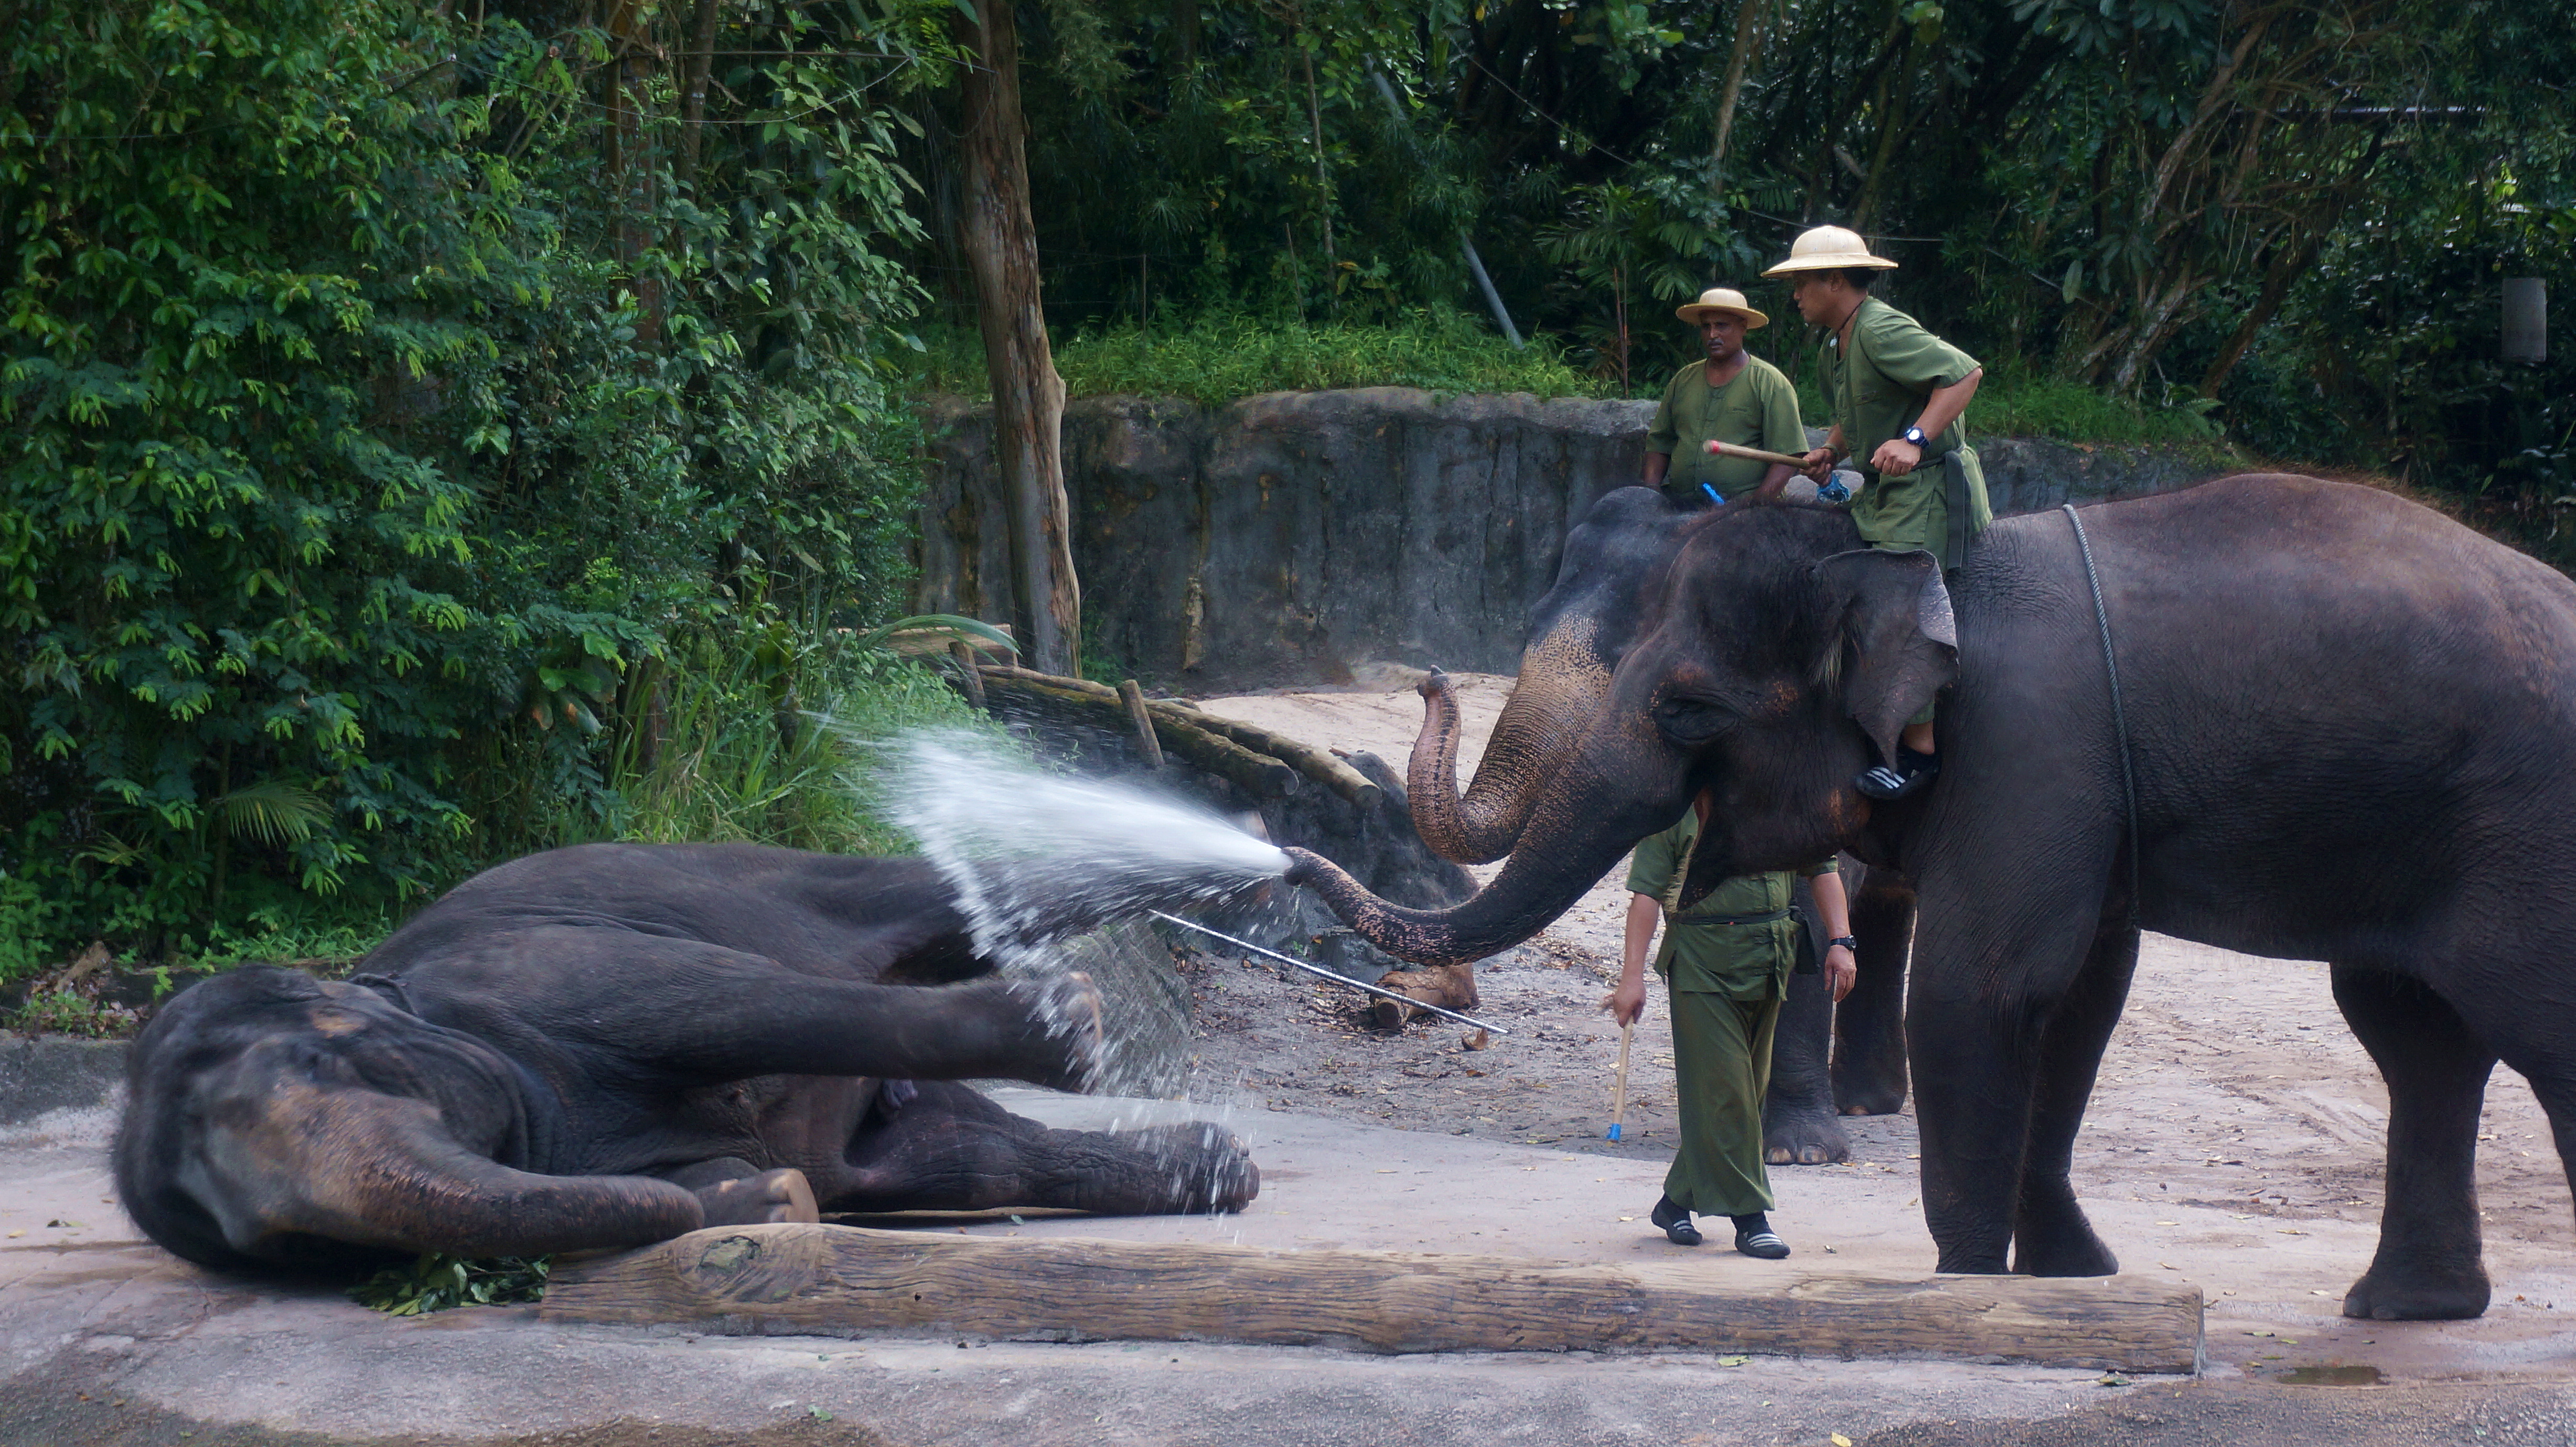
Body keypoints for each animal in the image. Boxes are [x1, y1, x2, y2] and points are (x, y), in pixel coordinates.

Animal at [116, 839, 1262, 1267]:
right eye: (256, 1234)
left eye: (322, 1067)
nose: (775, 1199)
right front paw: (764, 1201)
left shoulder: (542, 972)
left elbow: (722, 1009)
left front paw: (1073, 1022)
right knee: (944, 1155)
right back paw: (1220, 1173)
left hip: (749, 868)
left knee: (937, 892)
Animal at [1411, 484, 1916, 1158]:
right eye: (1527, 628)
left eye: (1628, 656)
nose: (1432, 679)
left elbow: (1811, 899)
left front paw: (1797, 1151)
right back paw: (1864, 1102)